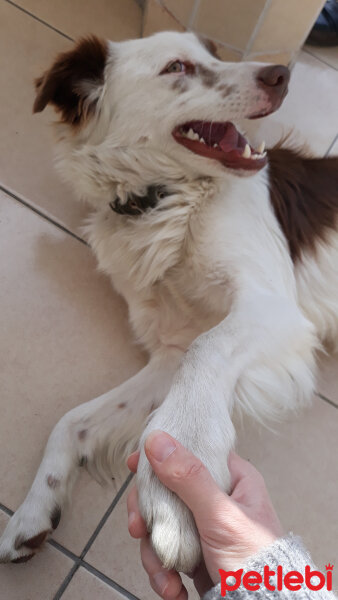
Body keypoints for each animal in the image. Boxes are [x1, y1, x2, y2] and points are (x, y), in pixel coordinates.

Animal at [0, 31, 338, 572]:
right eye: (176, 66)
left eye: (215, 52)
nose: (281, 75)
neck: (165, 200)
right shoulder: (172, 350)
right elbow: (73, 421)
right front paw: (35, 509)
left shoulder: (273, 309)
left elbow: (209, 350)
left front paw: (185, 467)